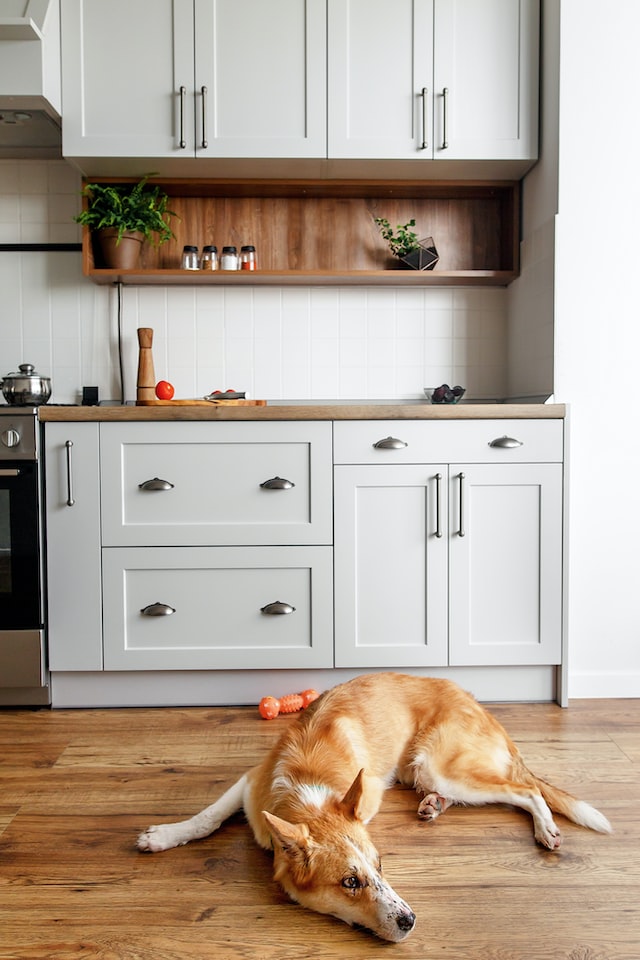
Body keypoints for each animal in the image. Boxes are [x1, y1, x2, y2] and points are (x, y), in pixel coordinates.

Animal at [138, 672, 612, 940]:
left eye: (381, 865)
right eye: (349, 882)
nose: (410, 921)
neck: (308, 795)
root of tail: (476, 702)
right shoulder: (250, 782)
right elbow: (207, 817)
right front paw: (164, 835)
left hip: (441, 765)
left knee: (526, 790)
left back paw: (545, 828)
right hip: (427, 772)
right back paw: (434, 805)